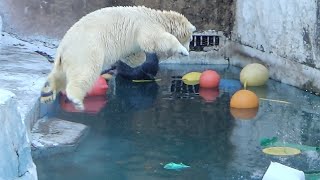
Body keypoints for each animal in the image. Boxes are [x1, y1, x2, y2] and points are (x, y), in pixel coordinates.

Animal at [41, 5, 196, 109]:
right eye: (190, 39)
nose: (189, 49)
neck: (157, 18)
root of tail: (63, 46)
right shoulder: (146, 26)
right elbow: (155, 39)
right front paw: (182, 50)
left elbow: (135, 54)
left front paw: (136, 62)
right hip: (86, 49)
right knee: (85, 71)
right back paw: (76, 99)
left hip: (67, 58)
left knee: (60, 74)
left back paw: (47, 93)